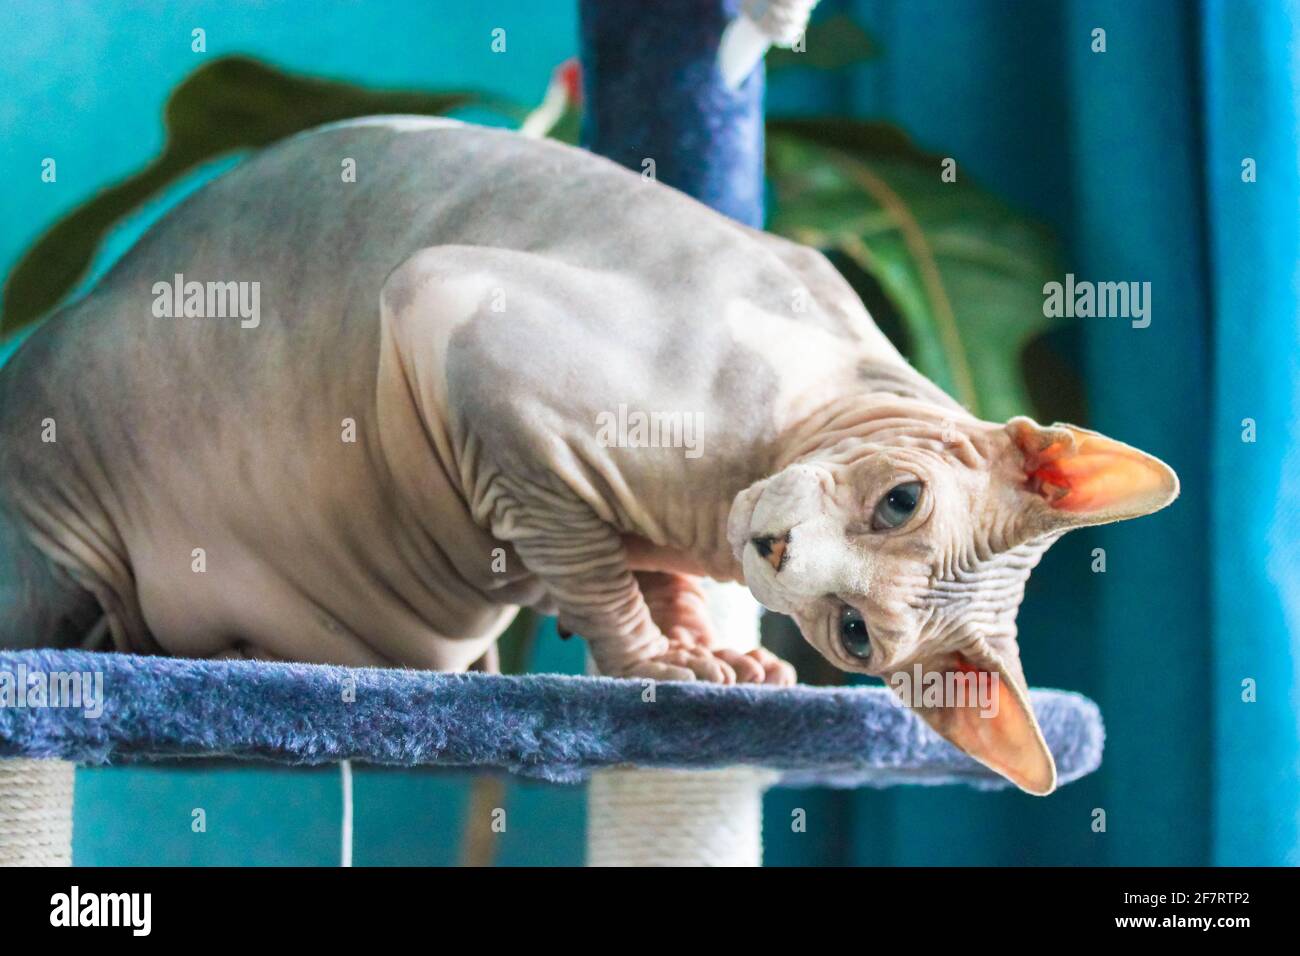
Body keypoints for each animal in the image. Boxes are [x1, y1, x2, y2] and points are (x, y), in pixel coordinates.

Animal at [0, 119, 1180, 790]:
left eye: (852, 635)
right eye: (901, 499)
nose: (774, 551)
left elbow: (626, 565)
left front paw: (711, 649)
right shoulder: (460, 333)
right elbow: (592, 562)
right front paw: (662, 662)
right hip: (68, 496)